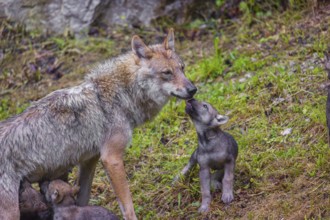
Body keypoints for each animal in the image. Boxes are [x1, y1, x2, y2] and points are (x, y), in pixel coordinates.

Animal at [0, 28, 196, 218]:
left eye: (182, 68)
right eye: (167, 73)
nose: (193, 89)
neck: (120, 96)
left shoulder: (89, 161)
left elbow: (82, 199)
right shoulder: (111, 158)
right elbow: (128, 207)